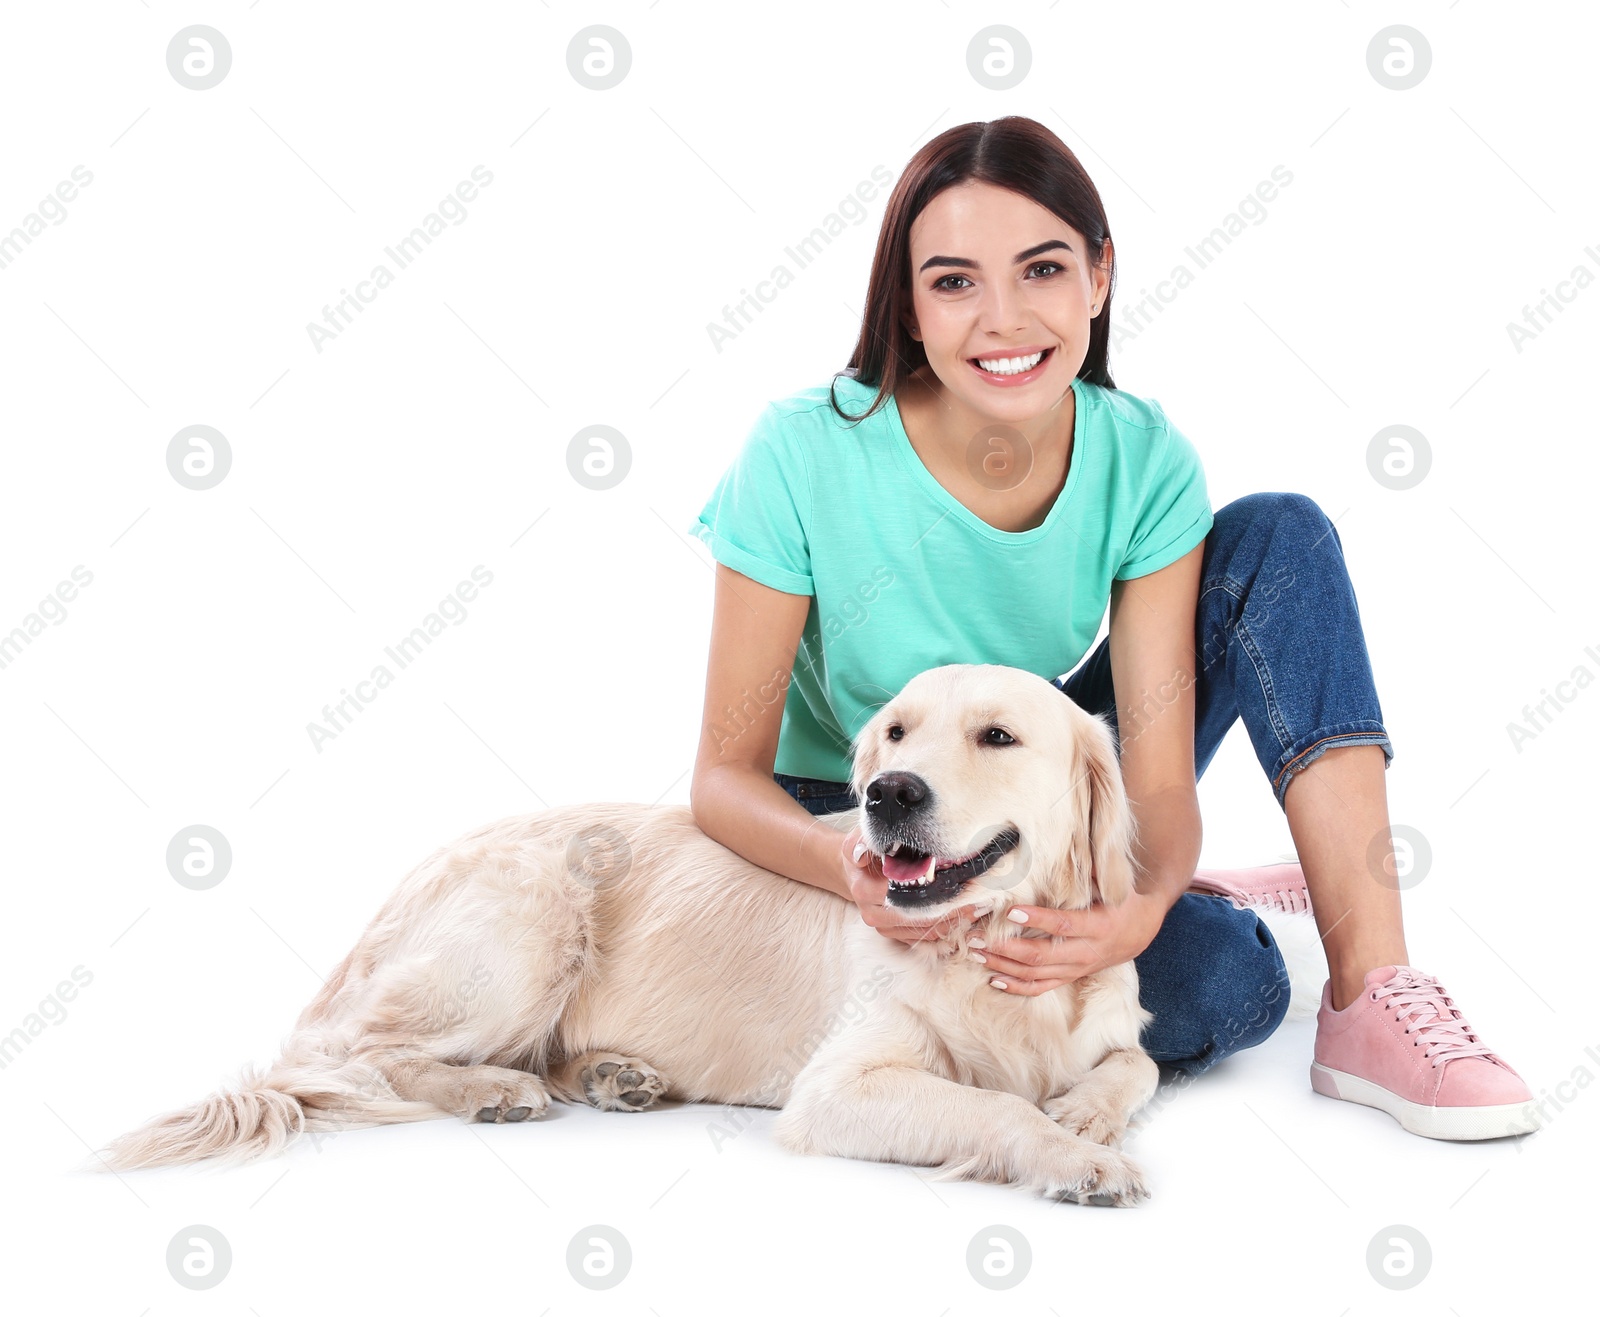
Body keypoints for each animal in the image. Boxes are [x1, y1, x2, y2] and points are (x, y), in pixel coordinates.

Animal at [96, 665, 1248, 1209]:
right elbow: (993, 1108)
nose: (887, 794)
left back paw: (610, 1074)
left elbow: (1133, 1066)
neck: (981, 952)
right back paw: (493, 1089)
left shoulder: (1111, 1018)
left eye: (997, 736)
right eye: (896, 732)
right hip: (531, 917)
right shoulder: (840, 1088)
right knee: (368, 1057)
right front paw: (1074, 1155)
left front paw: (1084, 1112)